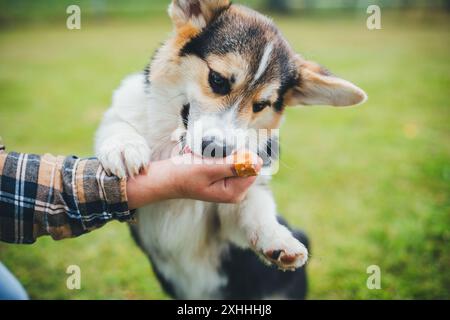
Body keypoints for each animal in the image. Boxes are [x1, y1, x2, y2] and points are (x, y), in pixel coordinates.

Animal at [95, 0, 366, 300]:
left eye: (260, 105)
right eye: (217, 80)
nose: (217, 148)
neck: (174, 145)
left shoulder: (231, 214)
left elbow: (255, 212)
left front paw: (278, 240)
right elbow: (119, 124)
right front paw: (124, 148)